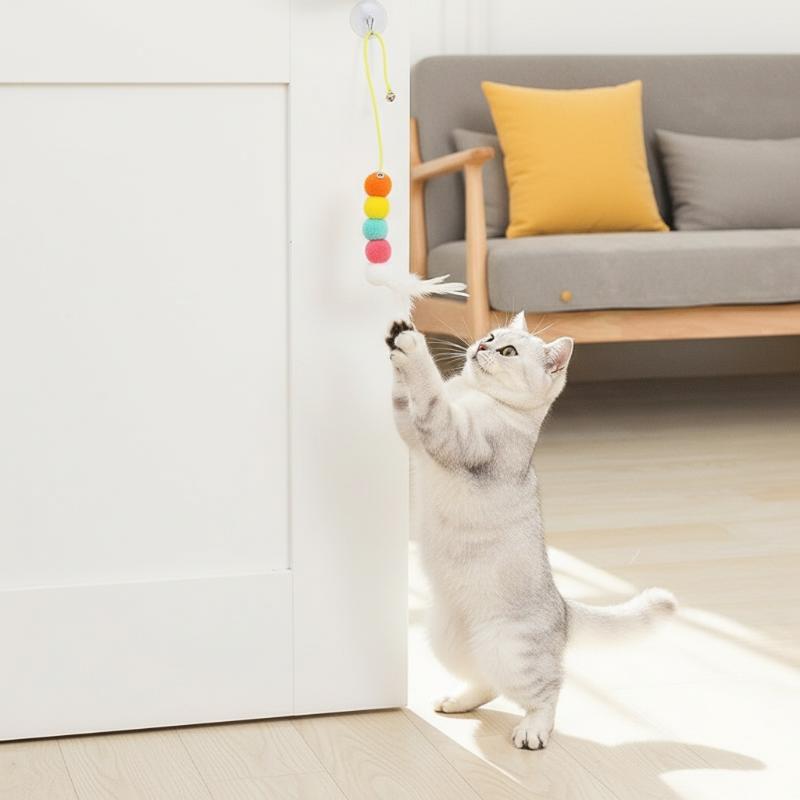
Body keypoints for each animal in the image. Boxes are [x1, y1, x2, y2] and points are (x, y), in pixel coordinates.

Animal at [386, 313, 676, 750]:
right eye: (491, 336)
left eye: (508, 351)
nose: (481, 347)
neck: (476, 395)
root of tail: (563, 609)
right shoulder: (412, 429)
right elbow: (406, 400)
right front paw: (395, 338)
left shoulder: (453, 436)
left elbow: (430, 392)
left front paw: (412, 344)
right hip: (447, 640)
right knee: (487, 683)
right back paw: (457, 702)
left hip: (510, 650)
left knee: (548, 691)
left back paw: (533, 731)